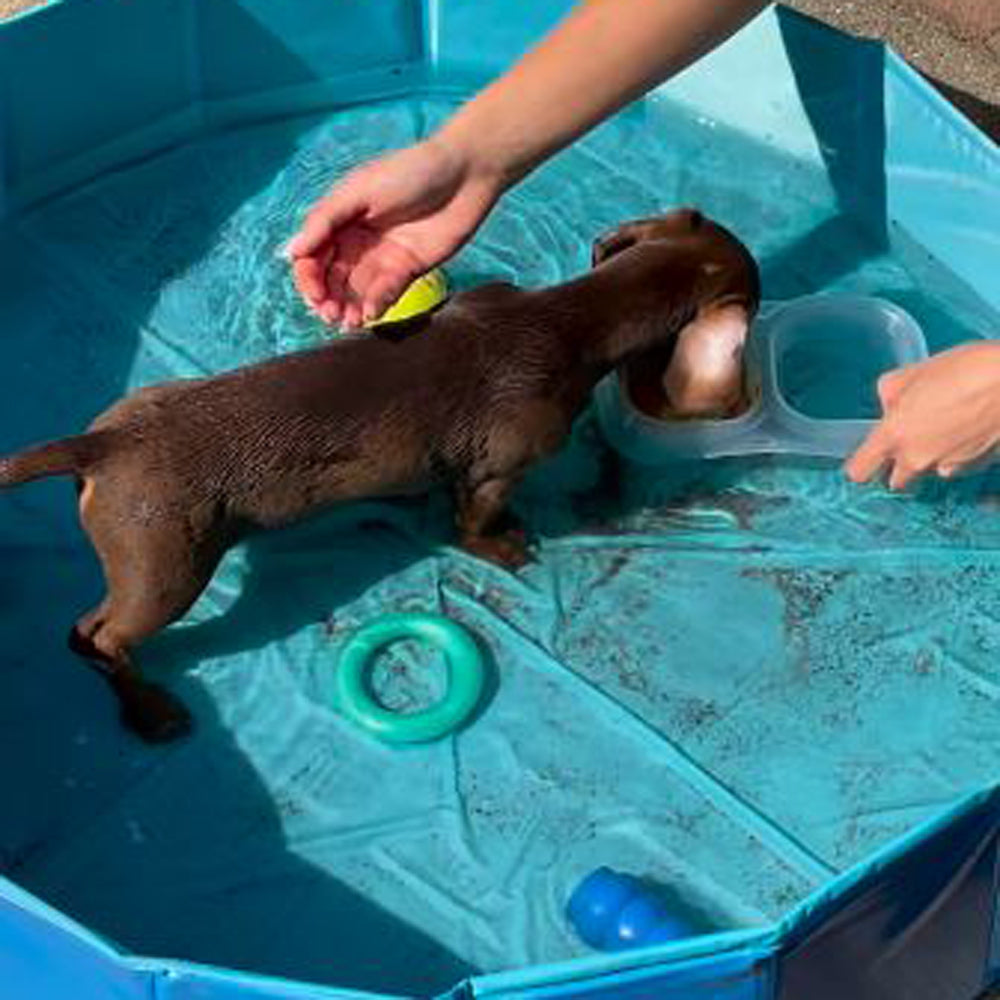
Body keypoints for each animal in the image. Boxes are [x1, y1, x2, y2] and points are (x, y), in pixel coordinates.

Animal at [0, 209, 756, 744]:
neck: (568, 319)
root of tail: (100, 445)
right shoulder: (498, 466)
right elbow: (476, 519)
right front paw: (505, 545)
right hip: (164, 562)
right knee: (99, 635)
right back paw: (153, 712)